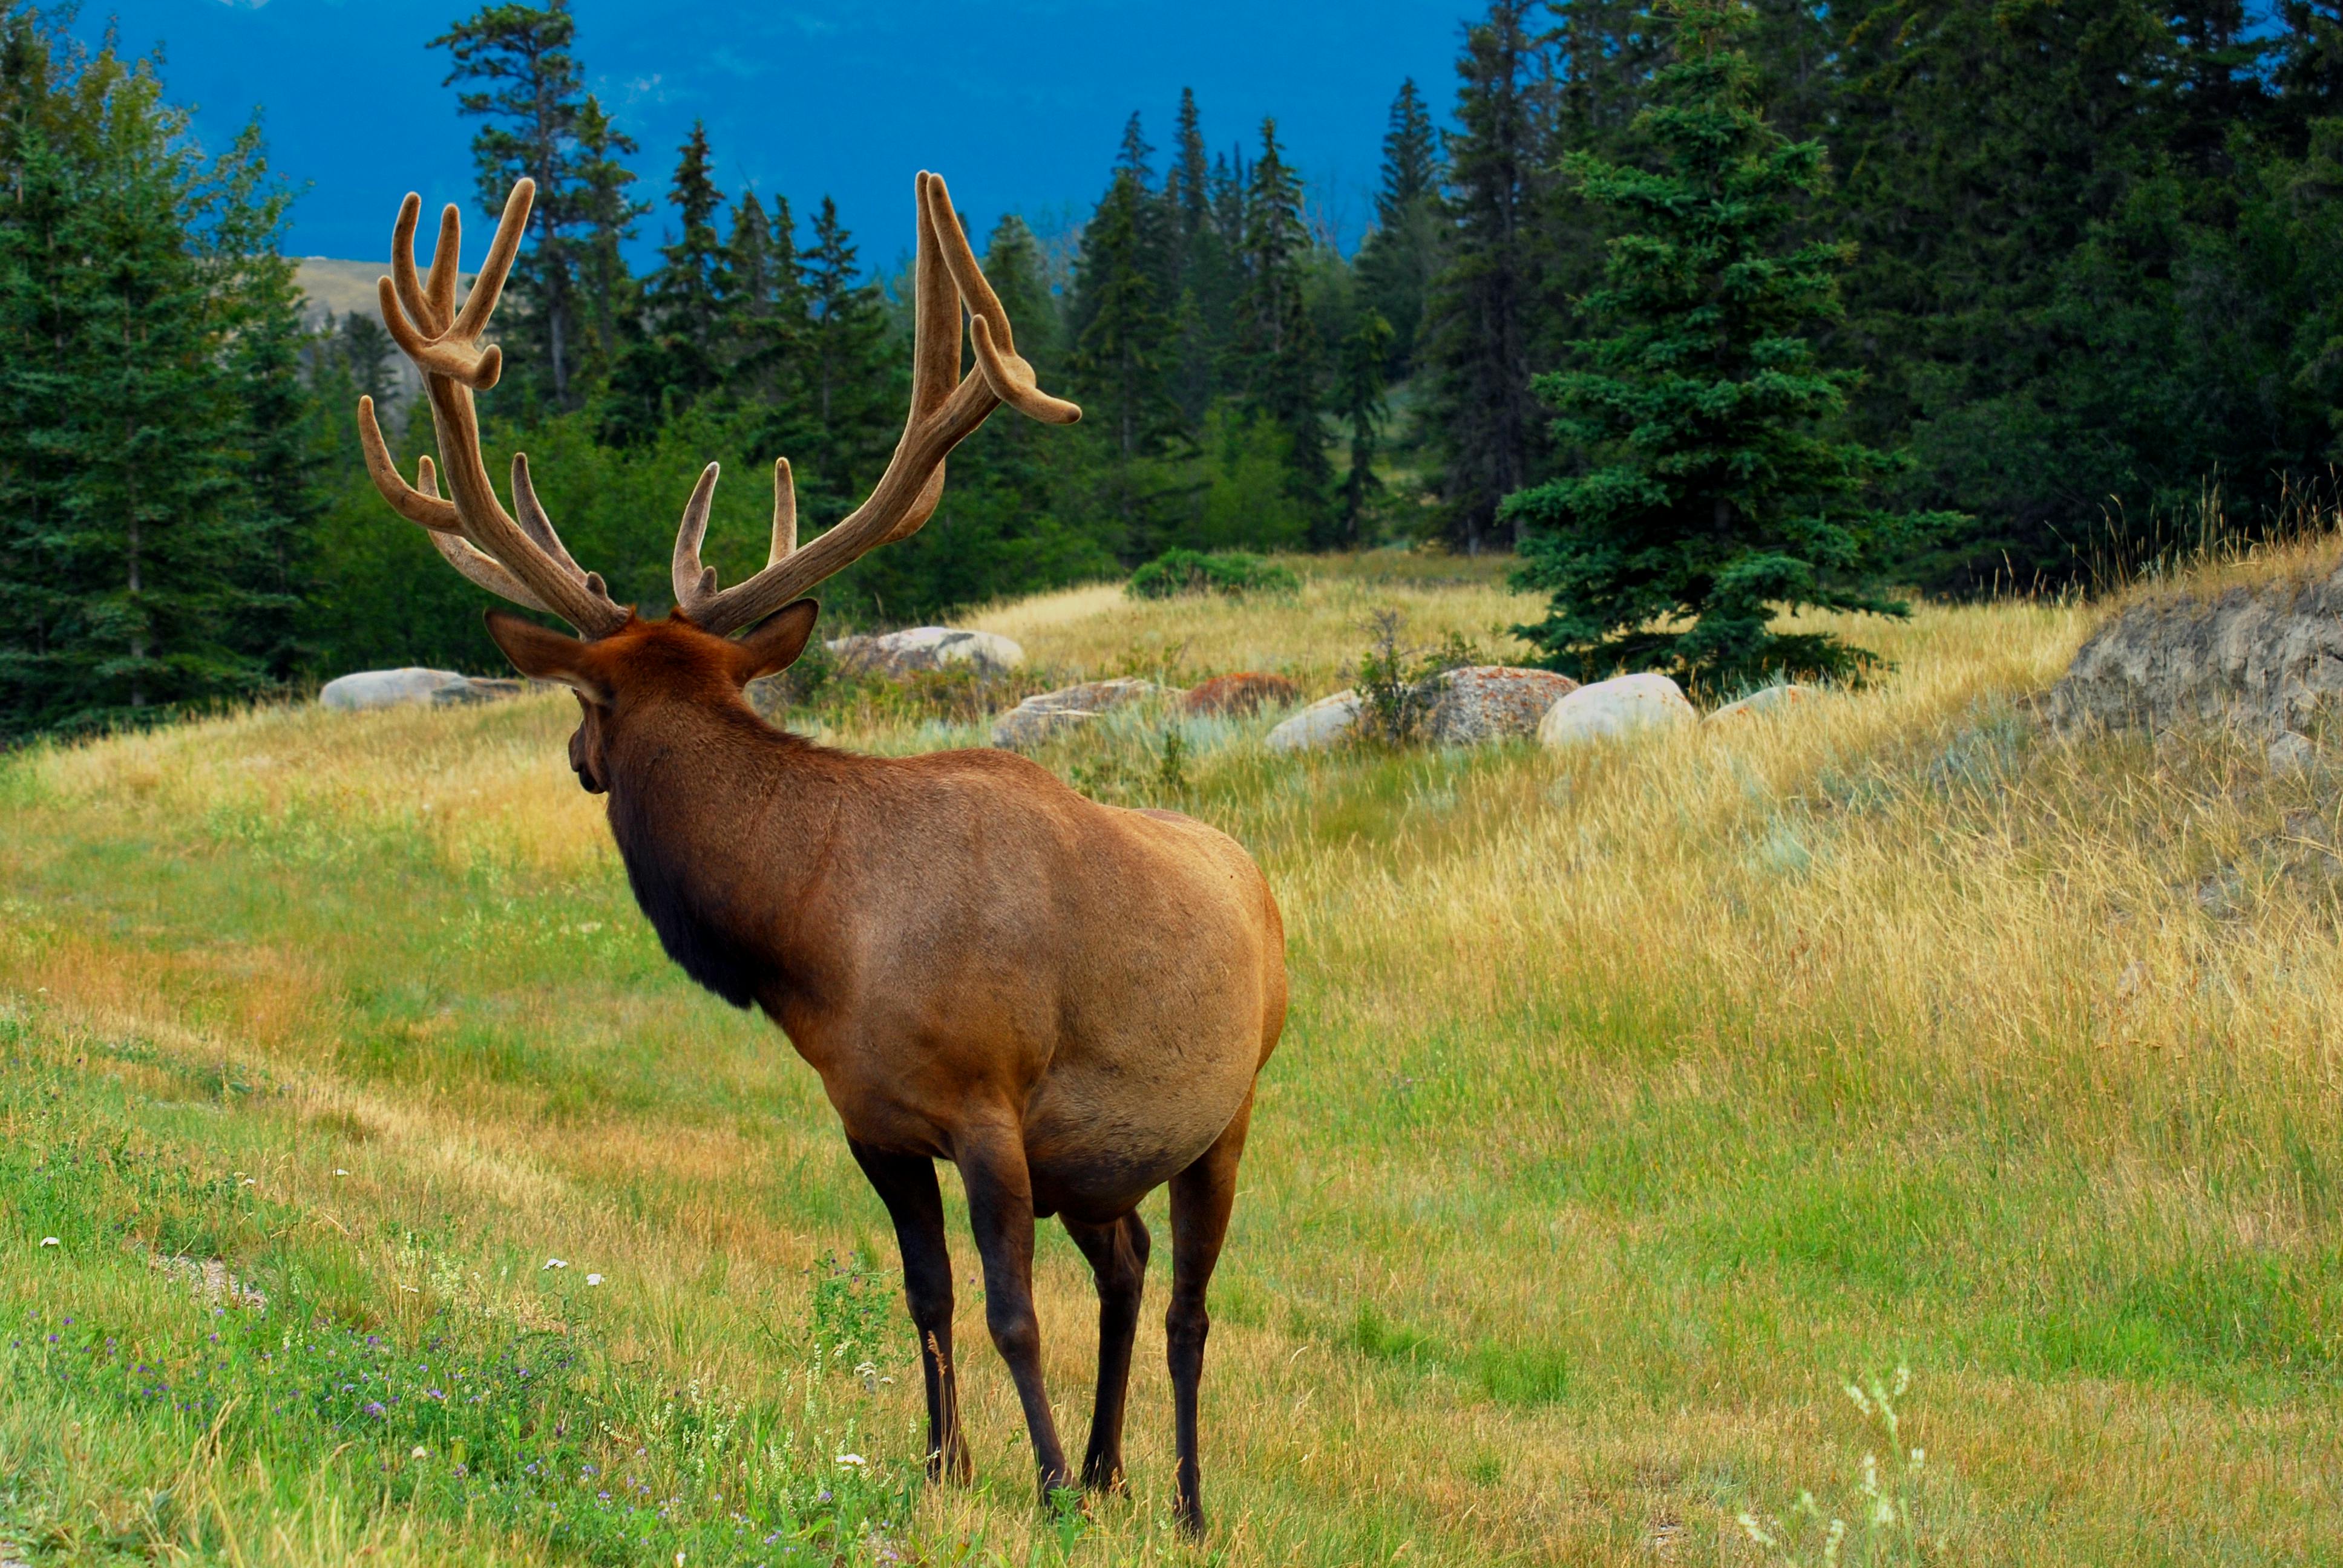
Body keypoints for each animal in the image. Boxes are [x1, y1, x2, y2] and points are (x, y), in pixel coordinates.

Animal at [351, 174, 1283, 1528]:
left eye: (588, 702)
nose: (576, 757)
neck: (822, 937)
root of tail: (1261, 886)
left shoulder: (991, 1108)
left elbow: (1009, 1314)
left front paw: (1044, 1480)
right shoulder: (873, 1120)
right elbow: (926, 1295)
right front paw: (947, 1466)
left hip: (1227, 1108)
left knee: (1188, 1308)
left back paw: (1178, 1499)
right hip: (1098, 1162)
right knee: (1127, 1266)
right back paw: (1115, 1470)